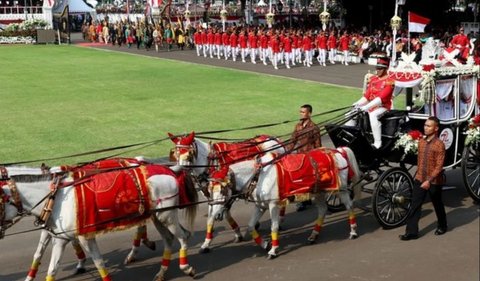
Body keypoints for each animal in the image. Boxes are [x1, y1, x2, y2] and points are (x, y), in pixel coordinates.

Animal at [0, 159, 198, 280]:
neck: (56, 196)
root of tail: (168, 169)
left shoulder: (84, 235)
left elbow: (98, 261)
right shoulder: (58, 235)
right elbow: (47, 264)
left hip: (167, 215)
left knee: (183, 235)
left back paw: (186, 266)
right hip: (158, 215)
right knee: (169, 238)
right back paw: (161, 270)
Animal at [208, 147, 362, 258]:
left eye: (222, 191)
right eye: (210, 191)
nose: (216, 215)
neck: (259, 176)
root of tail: (338, 151)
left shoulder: (273, 205)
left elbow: (274, 227)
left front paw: (273, 250)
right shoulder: (260, 205)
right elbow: (251, 226)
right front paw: (265, 244)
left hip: (341, 189)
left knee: (349, 206)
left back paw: (353, 231)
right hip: (318, 191)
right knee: (323, 210)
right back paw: (314, 235)